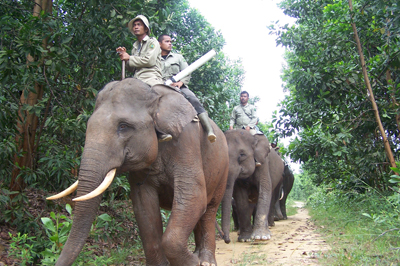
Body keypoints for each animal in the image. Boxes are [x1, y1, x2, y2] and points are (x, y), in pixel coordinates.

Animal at [47, 78, 228, 266]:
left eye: (123, 126)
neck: (155, 97)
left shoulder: (186, 141)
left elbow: (193, 195)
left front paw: (194, 263)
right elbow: (143, 205)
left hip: (223, 169)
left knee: (209, 209)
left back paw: (205, 261)